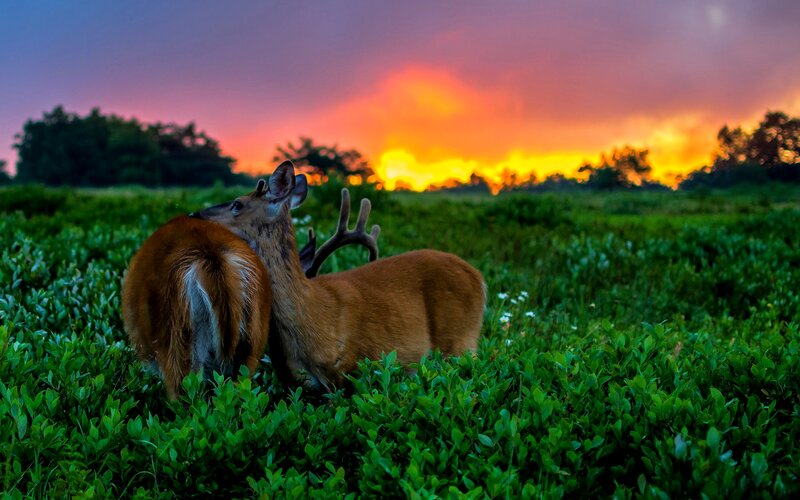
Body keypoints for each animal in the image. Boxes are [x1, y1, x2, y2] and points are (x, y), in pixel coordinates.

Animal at [192, 160, 486, 392]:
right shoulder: (295, 384)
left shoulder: (345, 372)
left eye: (237, 204)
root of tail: (478, 277)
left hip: (461, 342)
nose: (195, 213)